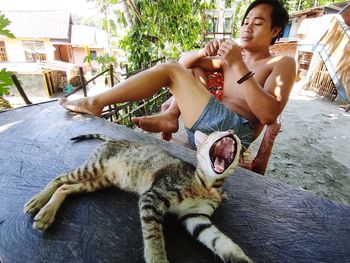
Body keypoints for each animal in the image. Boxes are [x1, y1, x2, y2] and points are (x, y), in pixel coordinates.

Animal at [24, 130, 253, 263]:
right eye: (216, 133)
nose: (232, 130)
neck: (208, 185)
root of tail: (113, 139)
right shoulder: (153, 197)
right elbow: (154, 236)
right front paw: (157, 259)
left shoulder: (196, 217)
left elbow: (221, 241)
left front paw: (241, 258)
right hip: (92, 168)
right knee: (59, 178)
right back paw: (39, 204)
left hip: (98, 180)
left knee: (65, 188)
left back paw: (46, 213)